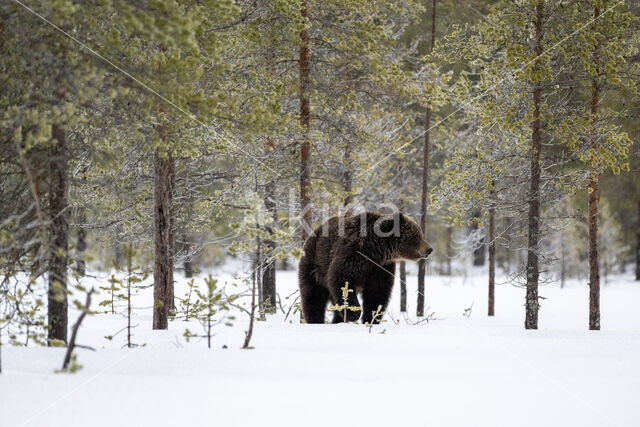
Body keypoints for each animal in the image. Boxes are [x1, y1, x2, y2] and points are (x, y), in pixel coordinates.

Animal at [298, 212, 432, 326]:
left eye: (421, 234)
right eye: (416, 236)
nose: (429, 249)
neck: (375, 251)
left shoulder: (380, 267)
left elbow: (377, 292)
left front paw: (371, 318)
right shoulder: (353, 253)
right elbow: (342, 280)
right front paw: (354, 313)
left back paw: (337, 320)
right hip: (314, 263)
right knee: (313, 295)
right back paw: (315, 320)